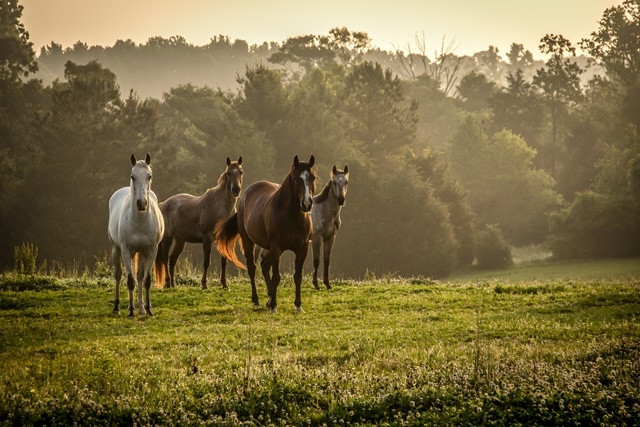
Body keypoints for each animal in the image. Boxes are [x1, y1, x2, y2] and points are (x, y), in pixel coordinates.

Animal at [107, 154, 164, 318]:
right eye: (133, 176)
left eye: (149, 176)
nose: (142, 203)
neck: (139, 223)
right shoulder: (126, 251)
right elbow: (130, 281)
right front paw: (131, 311)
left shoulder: (151, 251)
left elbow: (146, 280)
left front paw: (148, 309)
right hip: (116, 249)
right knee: (119, 275)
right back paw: (117, 307)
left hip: (142, 253)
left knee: (139, 276)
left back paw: (141, 308)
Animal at [154, 157, 242, 290]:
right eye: (228, 173)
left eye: (241, 172)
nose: (236, 189)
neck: (220, 208)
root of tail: (163, 204)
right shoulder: (207, 239)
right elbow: (206, 262)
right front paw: (204, 284)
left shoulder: (223, 238)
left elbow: (224, 261)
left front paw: (225, 284)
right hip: (168, 238)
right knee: (165, 258)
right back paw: (168, 282)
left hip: (180, 240)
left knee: (173, 259)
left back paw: (173, 284)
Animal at [218, 155, 318, 312]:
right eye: (296, 178)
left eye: (312, 177)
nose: (307, 203)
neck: (292, 217)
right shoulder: (277, 248)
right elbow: (276, 277)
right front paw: (274, 307)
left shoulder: (302, 248)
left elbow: (298, 276)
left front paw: (298, 305)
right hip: (249, 241)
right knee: (252, 268)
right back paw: (257, 299)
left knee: (265, 266)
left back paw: (269, 298)